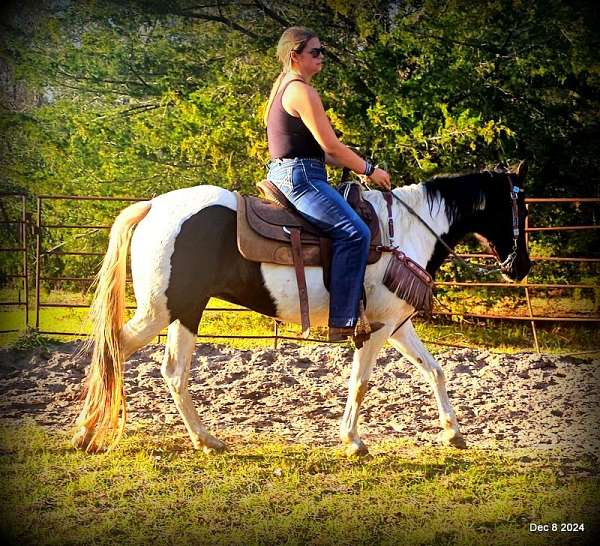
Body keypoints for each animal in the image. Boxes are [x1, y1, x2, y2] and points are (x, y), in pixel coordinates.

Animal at [71, 162, 528, 454]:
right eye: (519, 209)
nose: (520, 267)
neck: (404, 230)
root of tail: (152, 206)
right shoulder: (376, 329)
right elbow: (360, 383)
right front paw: (353, 441)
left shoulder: (396, 325)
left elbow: (435, 370)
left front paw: (453, 434)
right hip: (167, 310)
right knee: (134, 357)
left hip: (181, 312)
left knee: (157, 367)